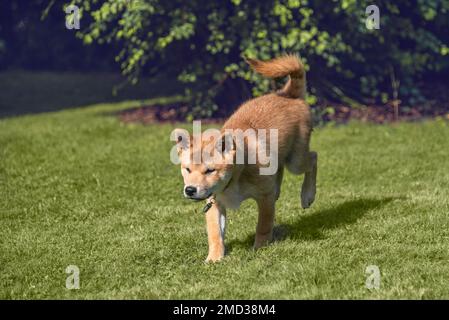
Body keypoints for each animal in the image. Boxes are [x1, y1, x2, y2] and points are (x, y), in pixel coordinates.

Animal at [172, 53, 316, 262]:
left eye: (210, 171)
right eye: (187, 169)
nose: (190, 190)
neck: (235, 177)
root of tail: (288, 94)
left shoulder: (264, 197)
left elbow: (263, 225)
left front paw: (260, 248)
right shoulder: (214, 202)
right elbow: (215, 233)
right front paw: (214, 258)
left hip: (295, 160)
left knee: (313, 158)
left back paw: (307, 194)